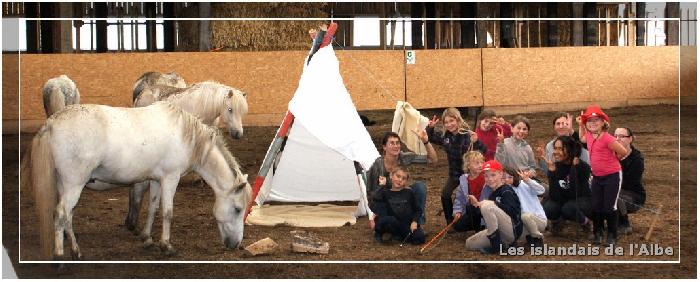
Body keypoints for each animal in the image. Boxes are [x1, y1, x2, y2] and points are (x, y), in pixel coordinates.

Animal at [28, 102, 252, 260]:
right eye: (238, 209)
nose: (235, 244)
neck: (186, 136)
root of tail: (51, 123)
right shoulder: (170, 178)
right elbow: (168, 212)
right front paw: (166, 246)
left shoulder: (156, 180)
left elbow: (153, 207)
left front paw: (147, 238)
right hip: (74, 185)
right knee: (61, 214)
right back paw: (60, 257)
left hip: (65, 186)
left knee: (68, 216)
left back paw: (75, 251)